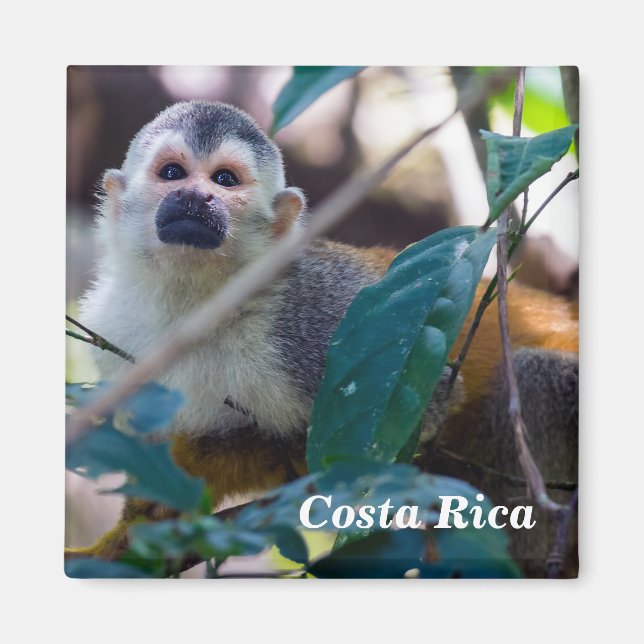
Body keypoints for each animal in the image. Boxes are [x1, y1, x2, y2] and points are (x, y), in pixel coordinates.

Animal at [67, 101, 579, 575]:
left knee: (536, 375)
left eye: (225, 180)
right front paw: (129, 530)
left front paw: (194, 467)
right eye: (172, 173)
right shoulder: (119, 329)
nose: (195, 196)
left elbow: (403, 425)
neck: (196, 303)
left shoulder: (312, 313)